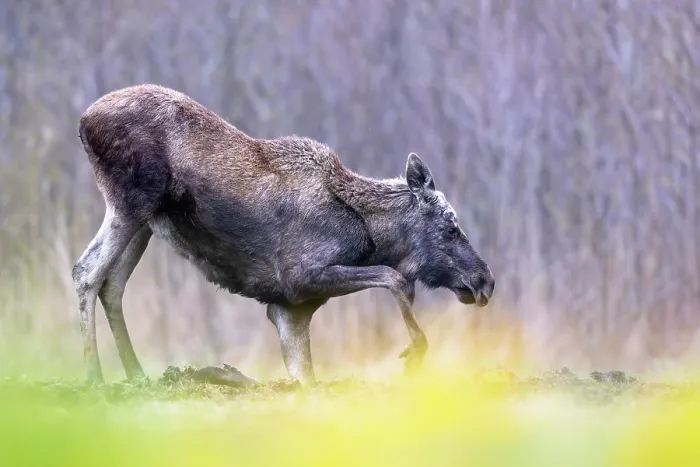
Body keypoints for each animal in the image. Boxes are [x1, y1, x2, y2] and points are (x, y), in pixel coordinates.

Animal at [72, 84, 495, 385]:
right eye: (451, 225)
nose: (486, 281)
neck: (371, 233)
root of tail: (83, 121)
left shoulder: (288, 309)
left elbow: (305, 378)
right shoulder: (301, 275)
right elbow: (396, 278)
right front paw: (413, 354)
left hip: (145, 220)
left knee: (112, 284)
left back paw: (136, 374)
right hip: (130, 203)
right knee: (86, 272)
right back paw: (94, 377)